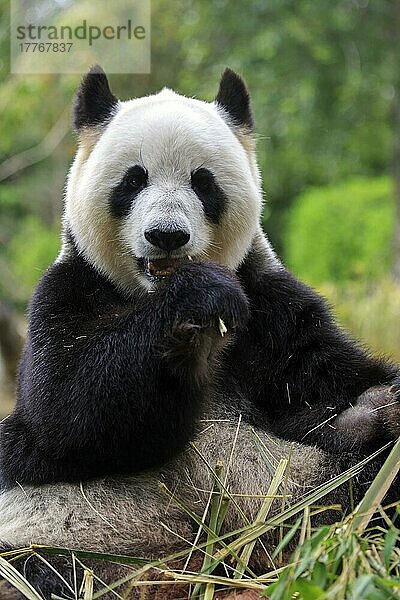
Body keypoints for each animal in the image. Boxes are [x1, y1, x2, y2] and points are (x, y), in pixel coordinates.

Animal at [0, 68, 398, 596]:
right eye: (133, 180)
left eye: (203, 182)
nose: (167, 235)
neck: (150, 294)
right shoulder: (72, 289)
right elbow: (67, 411)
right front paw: (199, 301)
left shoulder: (271, 307)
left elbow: (329, 372)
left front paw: (378, 404)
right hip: (59, 528)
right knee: (38, 567)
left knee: (362, 488)